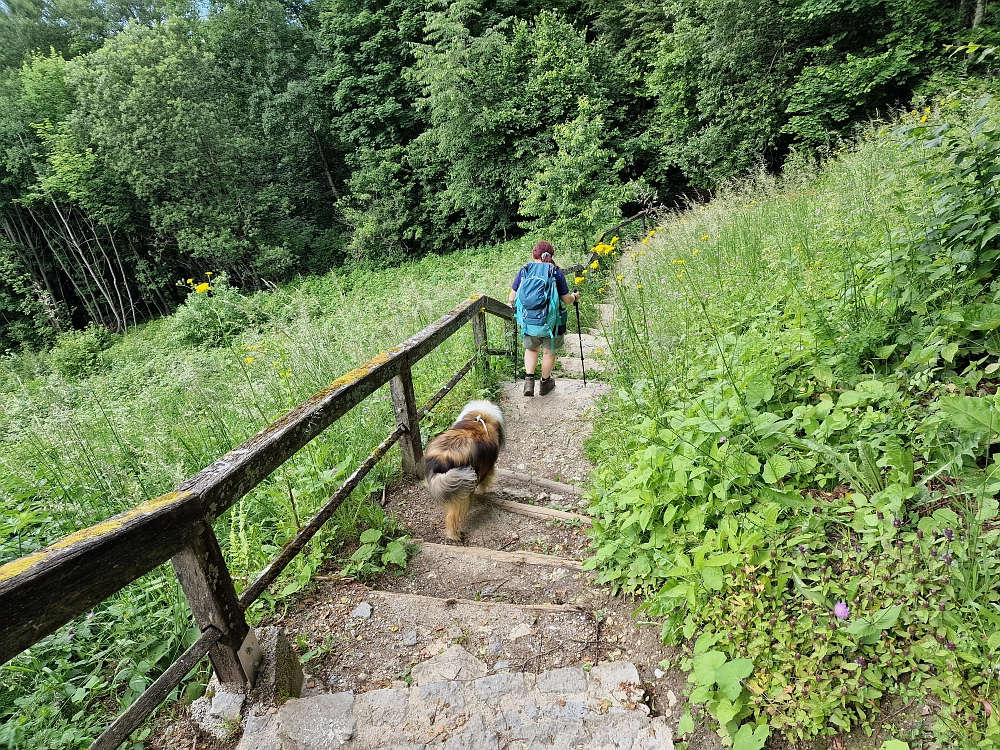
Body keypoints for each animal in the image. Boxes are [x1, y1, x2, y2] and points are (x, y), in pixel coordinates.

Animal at [422, 402, 504, 544]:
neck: (482, 420)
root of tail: (442, 459)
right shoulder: (488, 469)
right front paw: (484, 491)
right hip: (462, 492)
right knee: (452, 517)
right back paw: (454, 535)